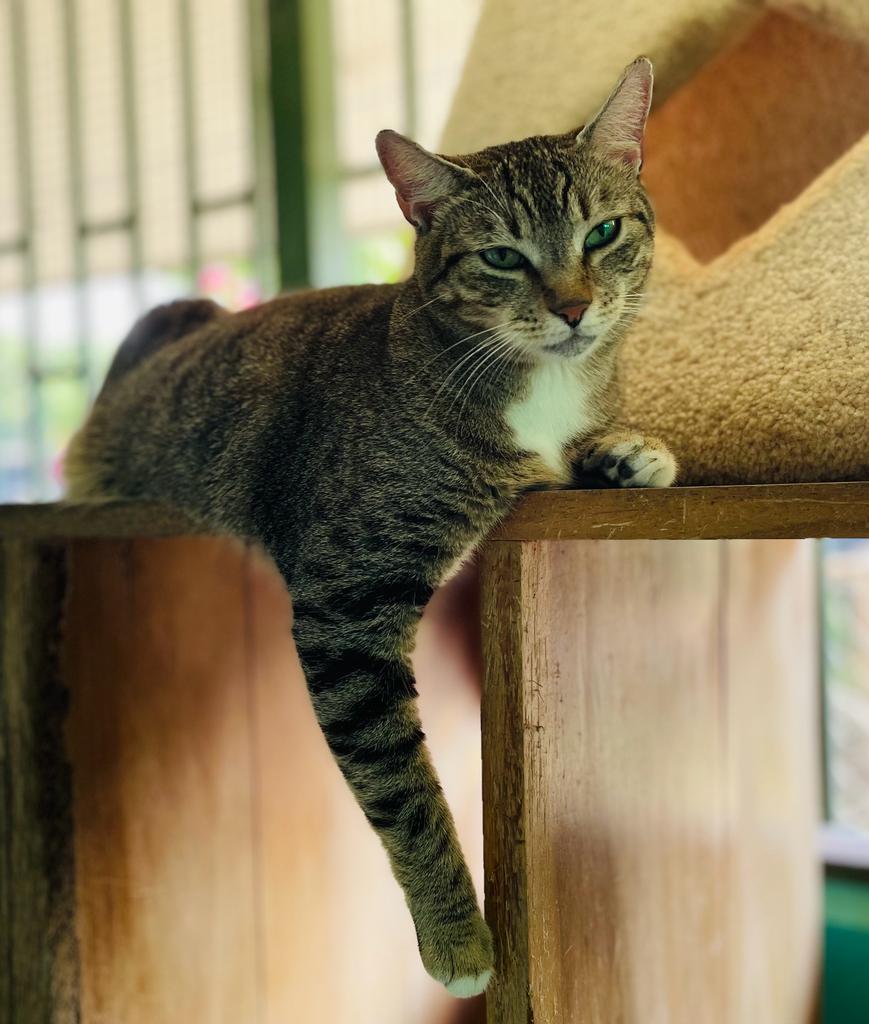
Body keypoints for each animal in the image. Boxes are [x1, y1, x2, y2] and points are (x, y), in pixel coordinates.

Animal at [67, 58, 679, 999]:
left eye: (603, 231)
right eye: (502, 256)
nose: (575, 309)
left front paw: (626, 450)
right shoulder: (345, 605)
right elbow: (401, 785)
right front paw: (458, 937)